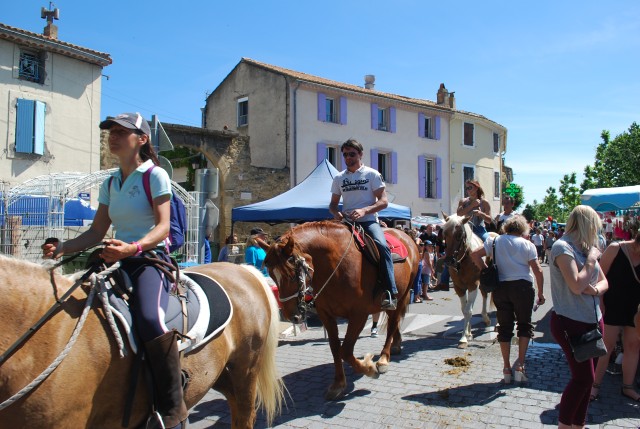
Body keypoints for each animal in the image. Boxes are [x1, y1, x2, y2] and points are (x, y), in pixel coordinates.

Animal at [262, 219, 420, 400]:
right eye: (271, 275)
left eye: (291, 274)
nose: (291, 316)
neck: (335, 266)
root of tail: (405, 236)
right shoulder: (326, 315)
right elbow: (335, 348)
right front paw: (338, 384)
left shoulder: (358, 315)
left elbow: (345, 351)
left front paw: (369, 368)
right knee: (394, 320)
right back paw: (396, 345)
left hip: (402, 295)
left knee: (393, 322)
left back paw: (383, 359)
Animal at [440, 214, 496, 348]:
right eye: (444, 234)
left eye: (459, 234)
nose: (449, 261)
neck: (464, 259)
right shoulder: (459, 287)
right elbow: (464, 309)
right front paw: (468, 333)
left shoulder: (473, 284)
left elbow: (468, 310)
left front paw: (463, 338)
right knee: (484, 295)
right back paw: (485, 318)